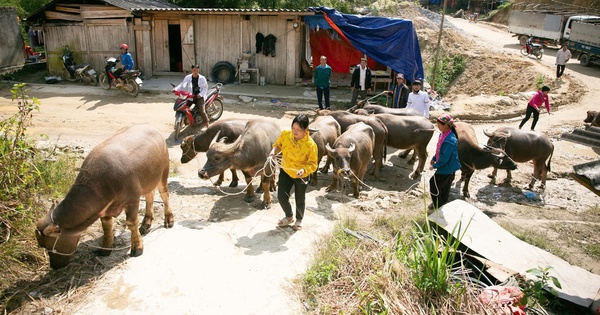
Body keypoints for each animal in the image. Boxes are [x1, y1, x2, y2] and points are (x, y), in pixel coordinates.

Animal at [35, 124, 172, 270]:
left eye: (47, 244)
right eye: (42, 245)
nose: (54, 266)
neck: (99, 186)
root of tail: (154, 129)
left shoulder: (132, 200)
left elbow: (131, 223)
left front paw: (137, 247)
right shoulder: (104, 208)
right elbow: (106, 227)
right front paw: (105, 248)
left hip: (163, 172)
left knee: (164, 194)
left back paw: (169, 219)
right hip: (148, 180)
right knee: (149, 196)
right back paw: (146, 222)